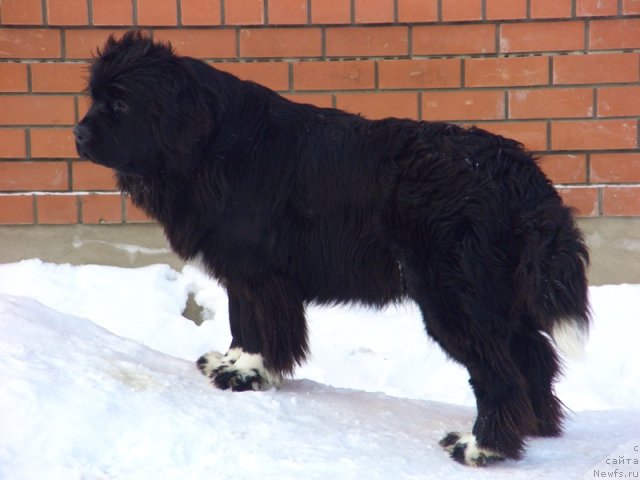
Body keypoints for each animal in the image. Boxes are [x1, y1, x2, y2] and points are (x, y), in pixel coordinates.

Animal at [76, 31, 592, 466]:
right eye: (94, 97)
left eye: (120, 102)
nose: (77, 134)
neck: (210, 145)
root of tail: (519, 170)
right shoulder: (241, 272)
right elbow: (242, 323)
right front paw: (230, 363)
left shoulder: (260, 272)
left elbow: (263, 328)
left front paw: (247, 375)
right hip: (498, 293)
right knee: (533, 356)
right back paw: (536, 427)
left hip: (454, 297)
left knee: (498, 374)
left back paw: (482, 446)